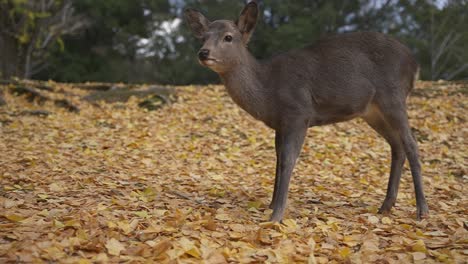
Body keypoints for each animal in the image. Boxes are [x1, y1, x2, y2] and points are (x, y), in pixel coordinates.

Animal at [185, 1, 430, 222]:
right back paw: (386, 206)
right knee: (397, 145)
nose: (203, 52)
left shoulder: (298, 113)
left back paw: (422, 211)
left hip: (393, 97)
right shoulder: (280, 123)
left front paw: (276, 215)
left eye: (228, 37)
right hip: (372, 111)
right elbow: (278, 159)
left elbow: (288, 160)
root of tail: (415, 64)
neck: (267, 90)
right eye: (203, 37)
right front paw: (271, 205)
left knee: (411, 144)